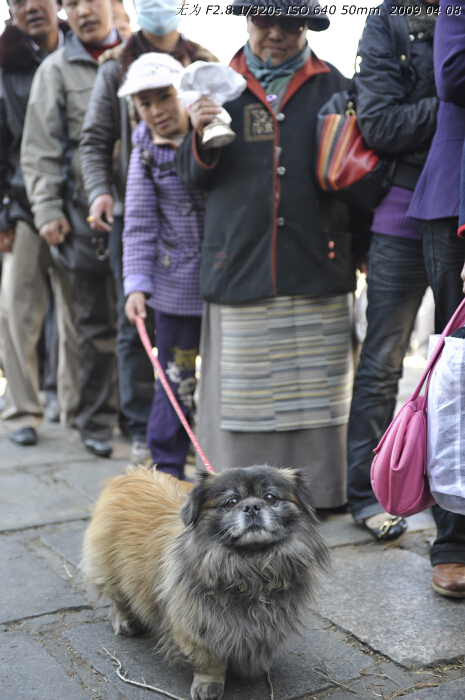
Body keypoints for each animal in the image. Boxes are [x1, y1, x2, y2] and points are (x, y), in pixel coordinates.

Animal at [82, 464, 330, 700]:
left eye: (270, 498)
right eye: (232, 502)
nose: (252, 506)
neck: (251, 567)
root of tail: (128, 475)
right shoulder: (198, 628)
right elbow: (210, 663)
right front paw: (208, 686)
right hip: (110, 570)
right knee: (118, 598)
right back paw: (125, 622)